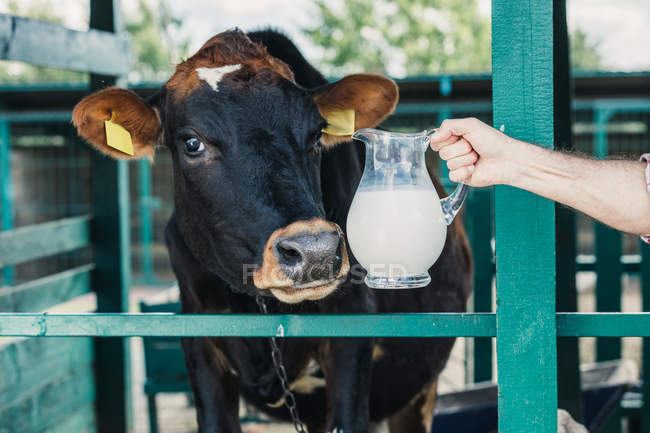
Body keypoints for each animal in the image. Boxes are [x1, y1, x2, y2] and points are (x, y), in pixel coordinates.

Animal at [73, 29, 470, 432]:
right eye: (192, 143)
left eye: (317, 135)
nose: (315, 251)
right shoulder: (198, 340)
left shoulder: (352, 330)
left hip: (419, 387)